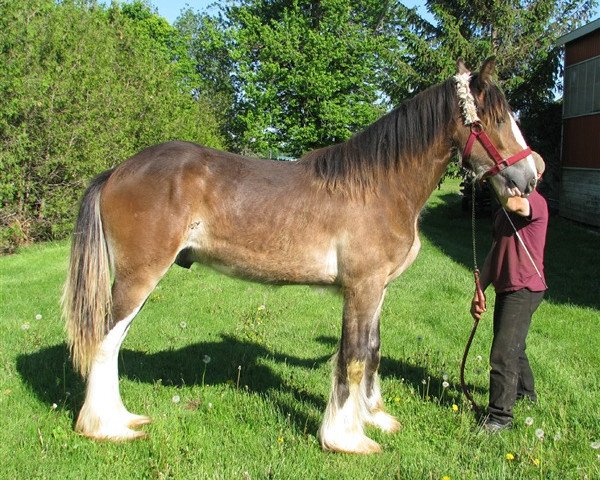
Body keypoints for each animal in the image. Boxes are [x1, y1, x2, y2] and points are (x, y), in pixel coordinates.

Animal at [62, 57, 540, 454]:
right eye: (499, 118)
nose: (532, 173)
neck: (380, 185)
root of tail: (118, 171)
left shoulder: (377, 290)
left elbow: (373, 350)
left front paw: (375, 418)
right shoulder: (361, 289)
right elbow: (353, 357)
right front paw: (346, 439)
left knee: (113, 342)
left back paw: (121, 418)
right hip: (138, 278)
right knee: (104, 342)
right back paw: (105, 427)